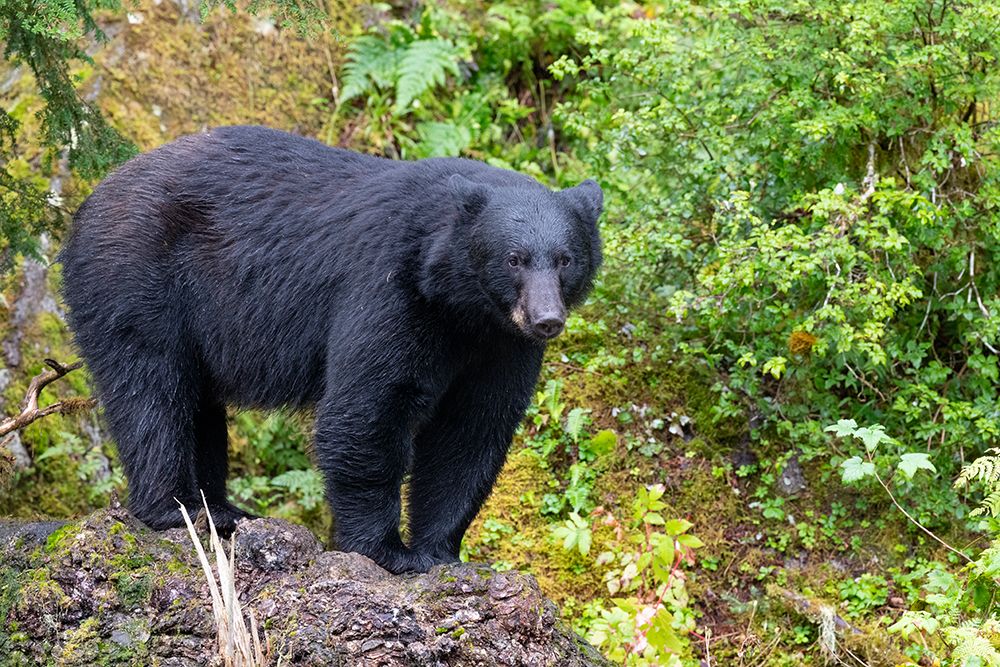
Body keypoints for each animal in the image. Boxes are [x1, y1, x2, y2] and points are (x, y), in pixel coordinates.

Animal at [59, 125, 603, 574]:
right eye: (514, 259)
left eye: (565, 259)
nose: (546, 319)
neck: (460, 305)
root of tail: (90, 198)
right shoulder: (388, 288)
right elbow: (367, 407)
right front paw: (387, 551)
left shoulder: (500, 345)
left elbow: (471, 430)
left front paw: (442, 552)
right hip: (137, 278)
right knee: (152, 389)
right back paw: (179, 509)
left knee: (198, 406)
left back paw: (223, 510)